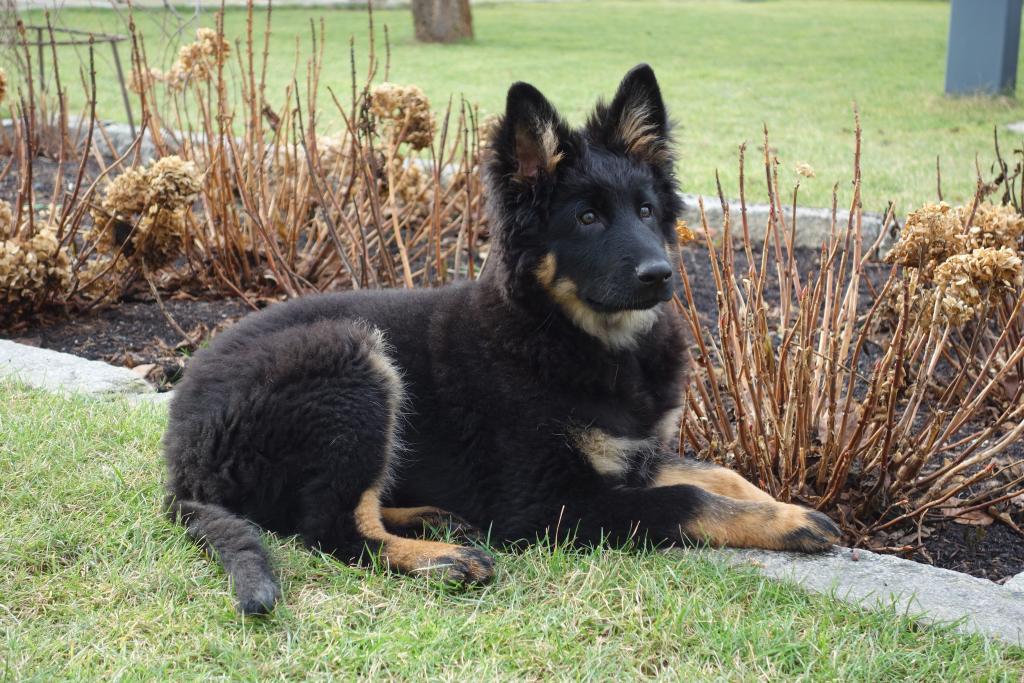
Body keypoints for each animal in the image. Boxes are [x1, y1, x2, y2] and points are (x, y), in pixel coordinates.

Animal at [163, 64, 840, 615]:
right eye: (586, 219)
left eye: (647, 211)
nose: (661, 275)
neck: (576, 336)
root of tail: (181, 456)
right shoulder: (547, 503)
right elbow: (691, 499)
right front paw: (788, 523)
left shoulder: (635, 452)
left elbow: (719, 474)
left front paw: (784, 506)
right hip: (351, 359)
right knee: (330, 527)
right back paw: (441, 557)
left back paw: (433, 518)